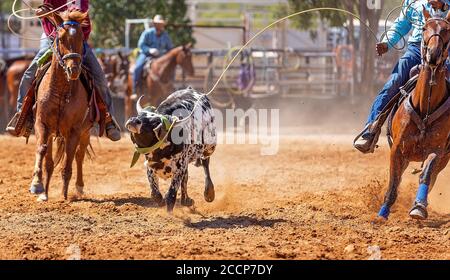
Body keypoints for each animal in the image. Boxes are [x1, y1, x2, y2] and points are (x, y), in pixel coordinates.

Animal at [29, 10, 91, 201]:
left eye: (81, 38)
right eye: (61, 38)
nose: (74, 70)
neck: (61, 92)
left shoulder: (74, 130)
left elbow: (67, 163)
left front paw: (64, 196)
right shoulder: (42, 123)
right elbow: (41, 150)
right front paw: (37, 186)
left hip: (86, 131)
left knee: (79, 155)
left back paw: (79, 187)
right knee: (50, 160)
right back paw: (45, 192)